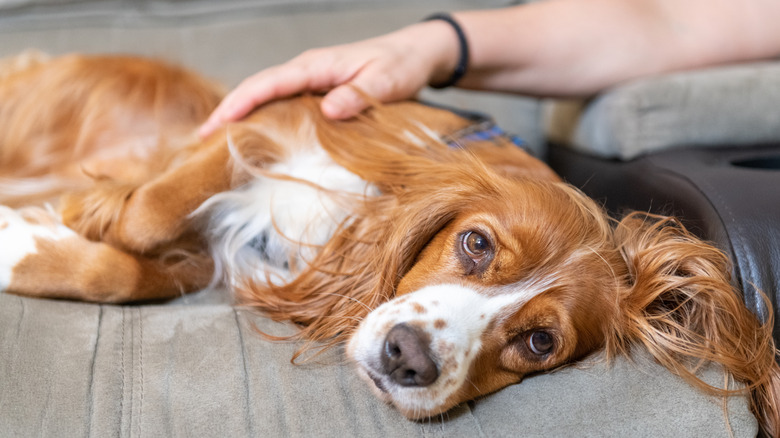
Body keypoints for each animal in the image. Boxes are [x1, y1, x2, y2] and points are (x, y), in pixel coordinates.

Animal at [0, 53, 776, 432]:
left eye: (539, 343)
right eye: (475, 244)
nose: (408, 357)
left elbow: (134, 269)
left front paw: (25, 238)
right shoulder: (277, 116)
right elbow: (147, 215)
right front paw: (77, 213)